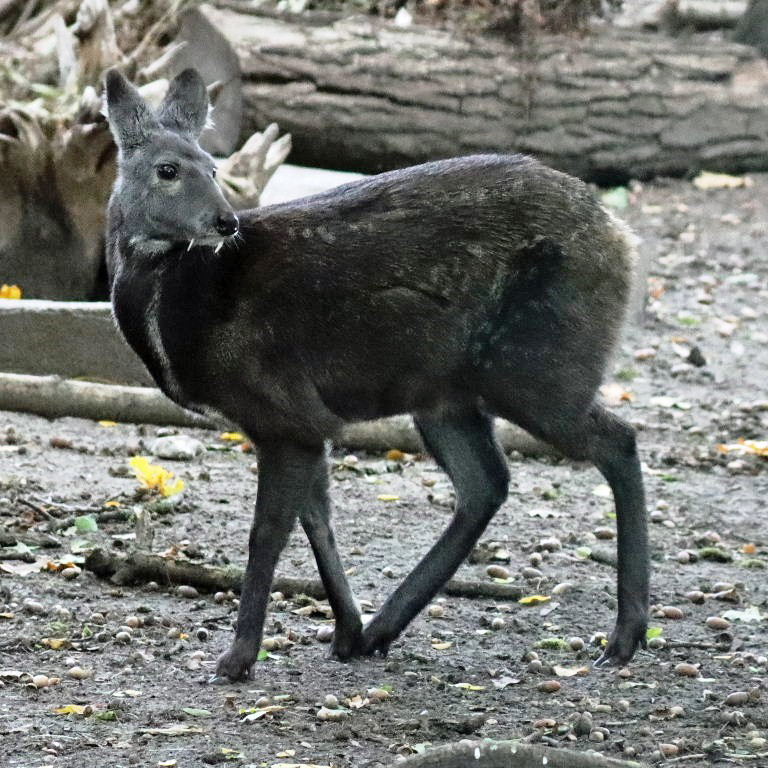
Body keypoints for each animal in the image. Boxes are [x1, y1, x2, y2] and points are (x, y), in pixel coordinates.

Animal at [104, 67, 648, 682]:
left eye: (214, 167)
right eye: (168, 169)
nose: (227, 221)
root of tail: (623, 237)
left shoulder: (281, 408)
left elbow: (267, 533)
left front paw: (237, 657)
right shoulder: (307, 422)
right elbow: (319, 521)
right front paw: (346, 629)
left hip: (540, 365)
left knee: (616, 440)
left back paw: (625, 635)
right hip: (446, 393)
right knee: (486, 482)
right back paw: (383, 630)